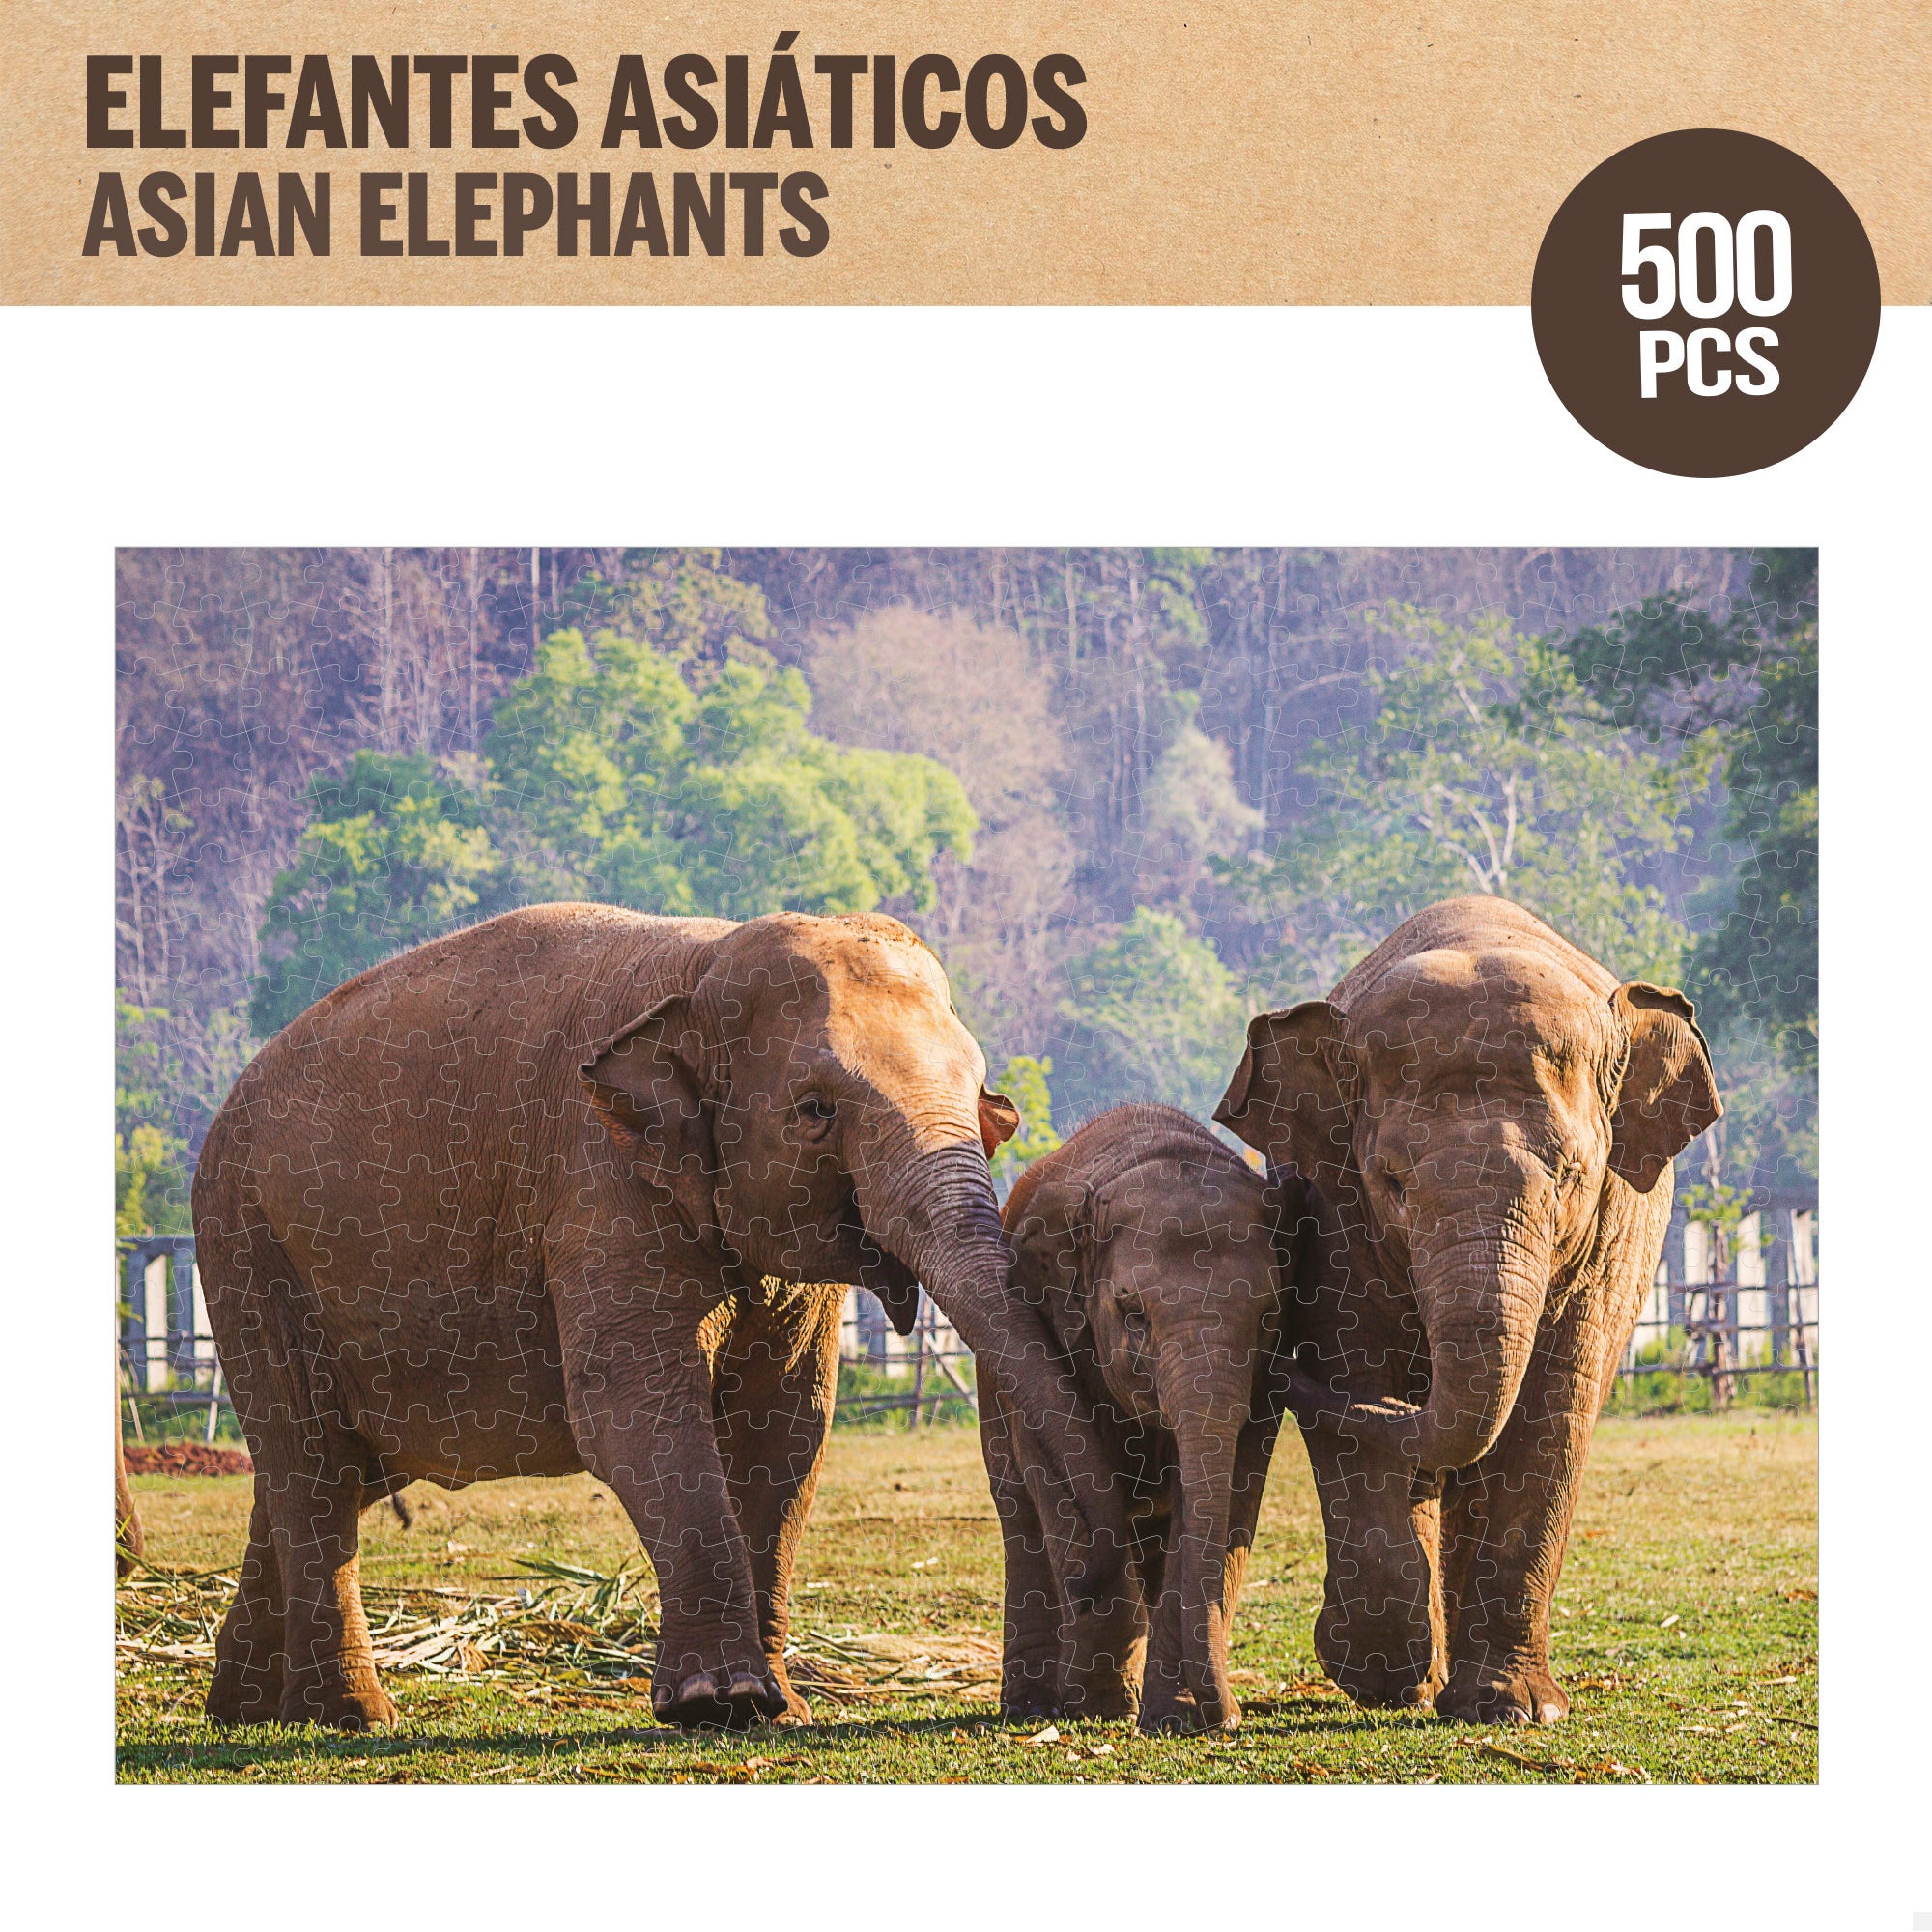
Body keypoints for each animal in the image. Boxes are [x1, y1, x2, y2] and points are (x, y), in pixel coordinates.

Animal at [193, 903, 1136, 1732]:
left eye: (980, 1097)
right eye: (814, 1110)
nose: (1095, 1570)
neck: (705, 966)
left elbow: (787, 1426)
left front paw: (780, 1711)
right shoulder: (600, 1181)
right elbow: (633, 1409)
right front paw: (719, 1702)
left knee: (326, 1470)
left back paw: (246, 1709)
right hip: (246, 1250)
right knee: (309, 1462)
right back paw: (350, 1717)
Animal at [987, 1104, 1310, 1733]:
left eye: (1268, 1314)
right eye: (1132, 1312)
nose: (1231, 1719)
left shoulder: (1265, 1379)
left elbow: (1230, 1490)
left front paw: (1176, 1718)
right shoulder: (1046, 1326)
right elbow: (1061, 1477)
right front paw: (1097, 1708)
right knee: (1021, 1515)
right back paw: (1032, 1706)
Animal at [1214, 896, 1720, 1725]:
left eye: (1572, 1176)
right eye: (1392, 1182)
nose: (1277, 1366)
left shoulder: (1615, 1230)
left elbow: (1552, 1414)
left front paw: (1516, 1710)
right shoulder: (1333, 1211)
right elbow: (1357, 1377)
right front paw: (1379, 1675)